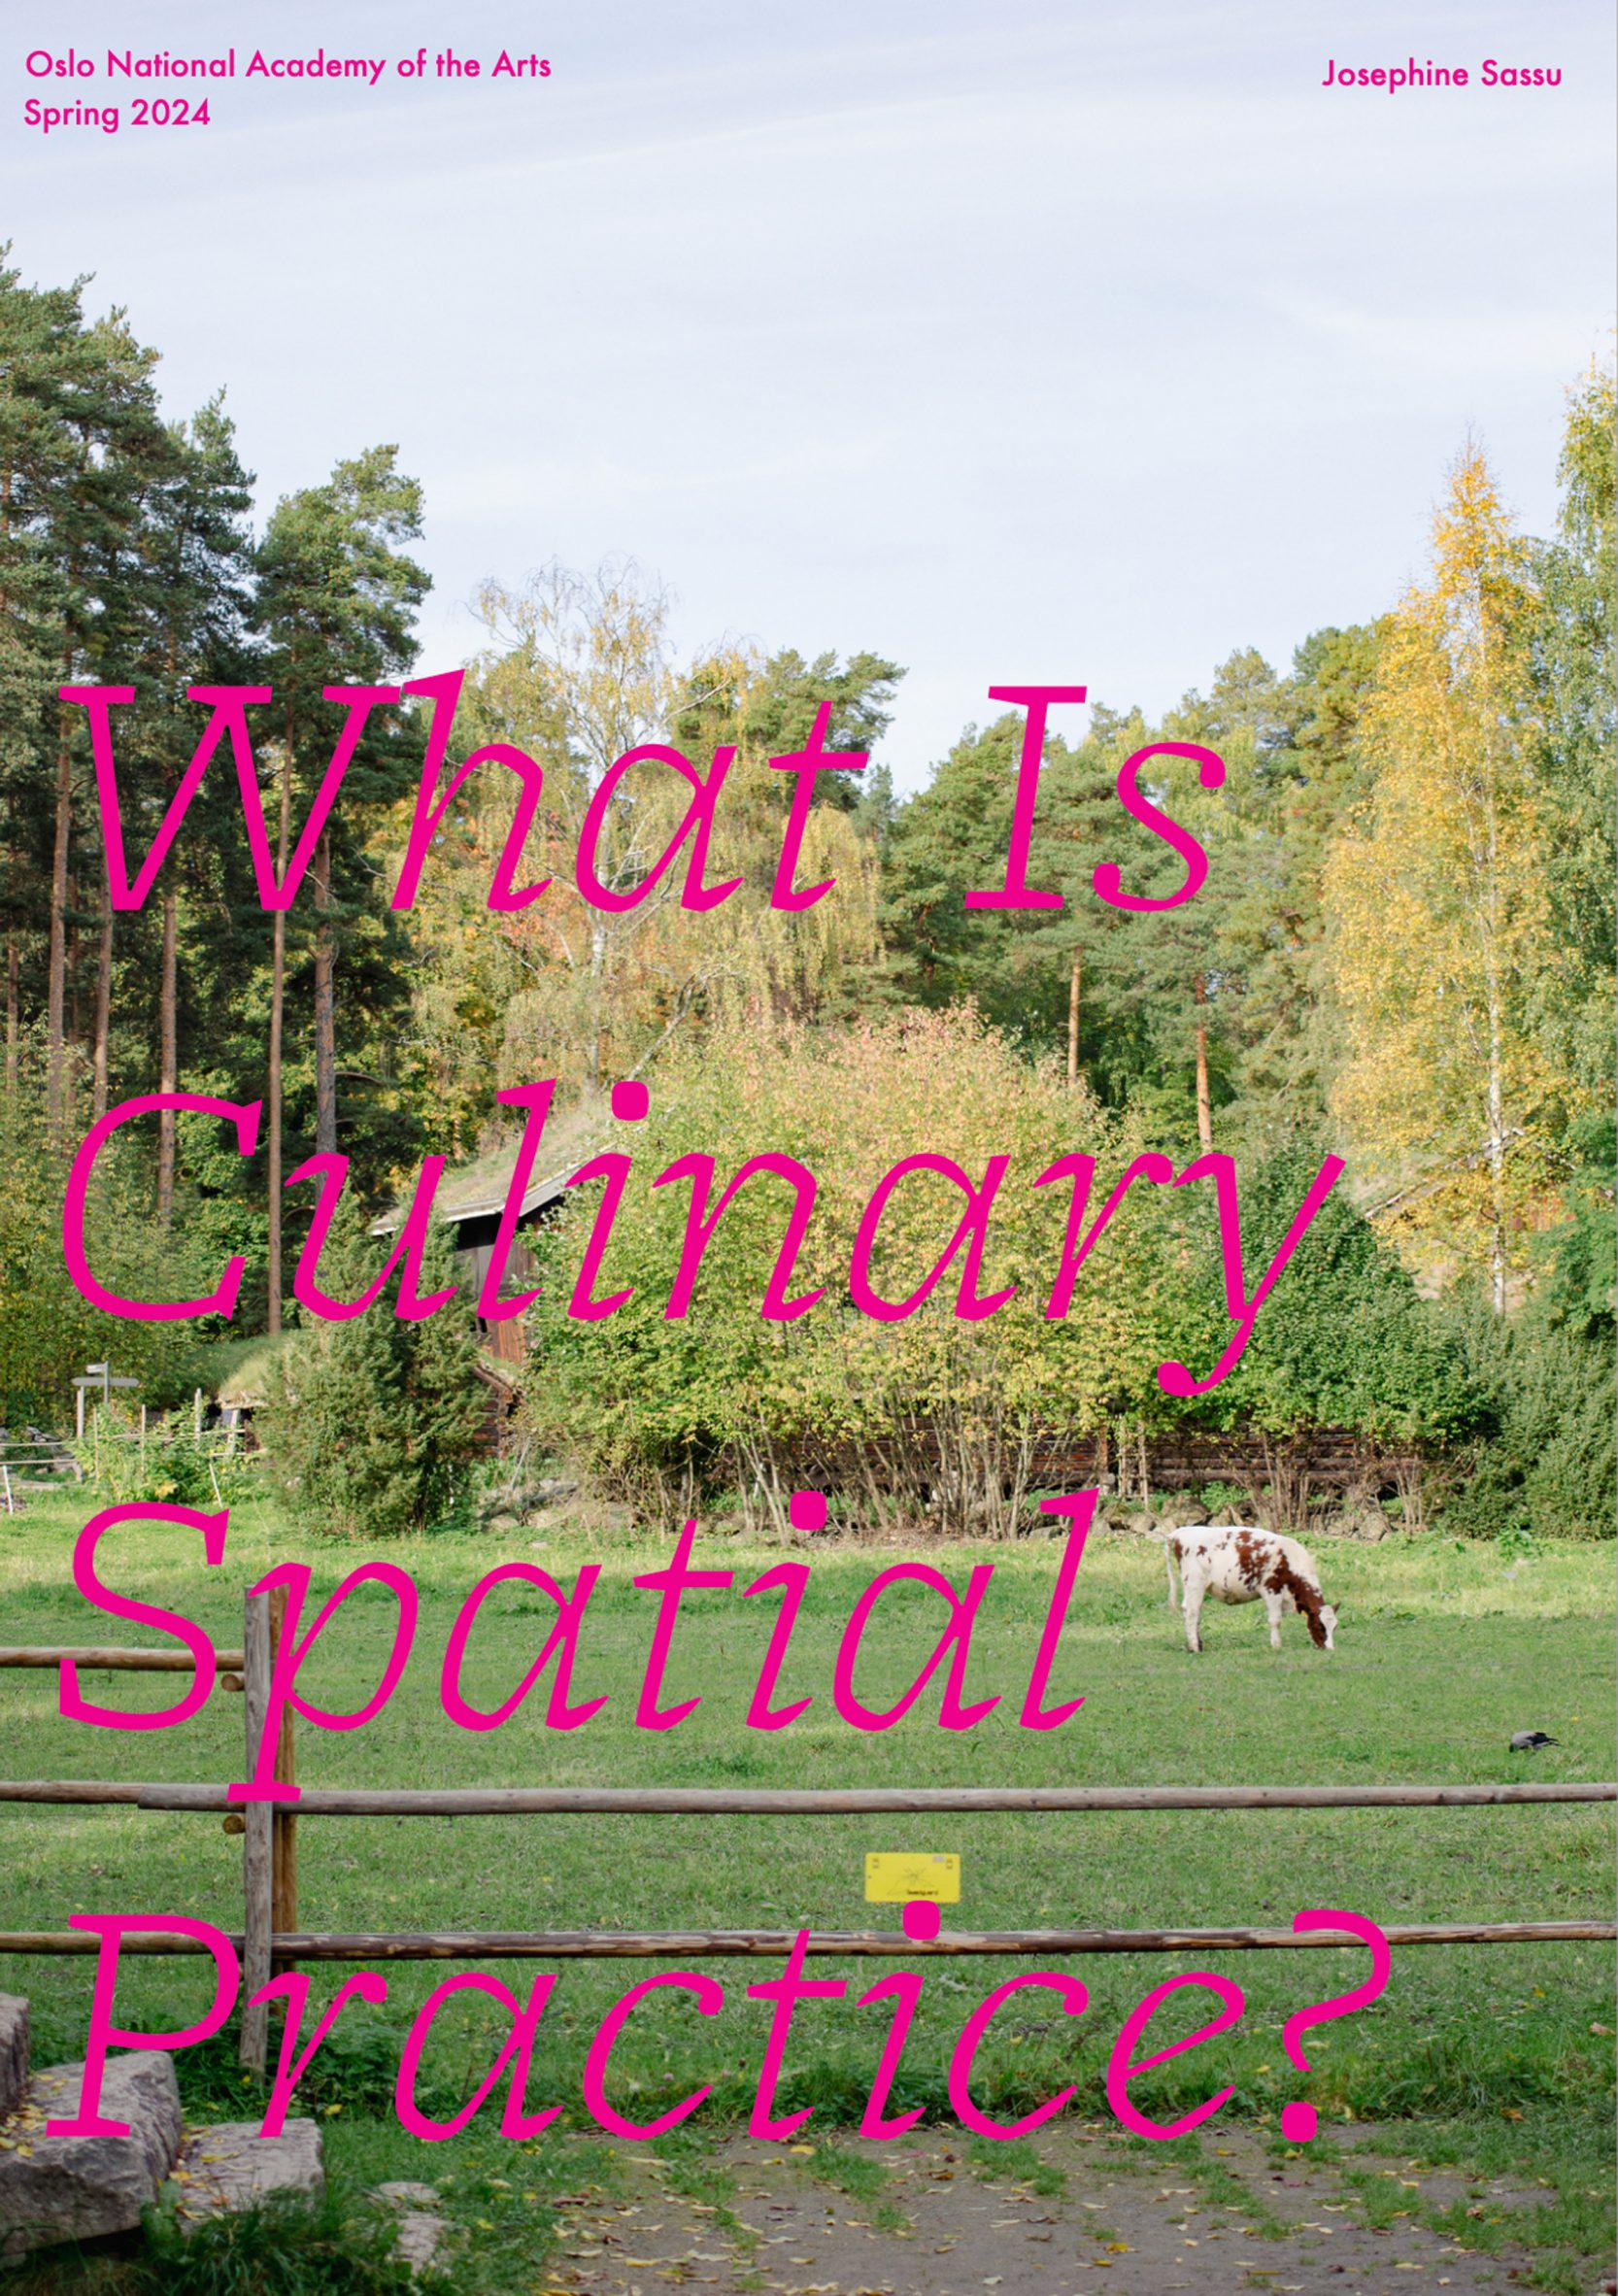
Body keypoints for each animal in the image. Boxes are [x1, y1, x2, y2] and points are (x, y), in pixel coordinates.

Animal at [1161, 1524, 1340, 1653]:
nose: (1330, 1649)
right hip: (1194, 1582)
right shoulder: (1271, 1590)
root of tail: (1180, 1532)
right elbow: (1275, 1620)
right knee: (1191, 1611)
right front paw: (1276, 1646)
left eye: (1335, 1627)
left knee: (1195, 1612)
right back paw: (1195, 1648)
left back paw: (1196, 1645)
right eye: (1319, 1625)